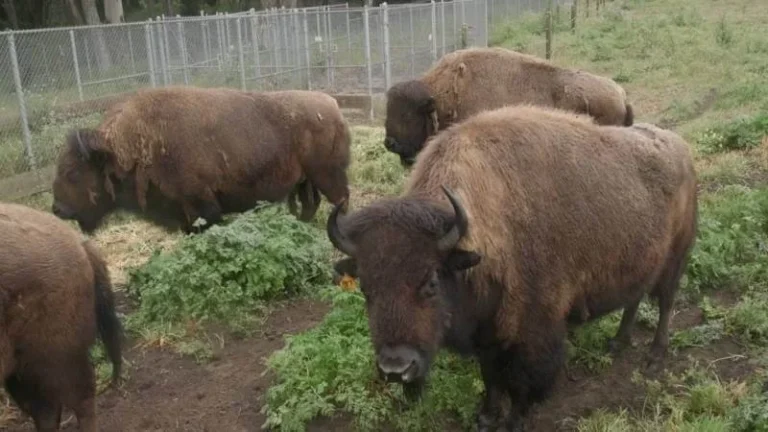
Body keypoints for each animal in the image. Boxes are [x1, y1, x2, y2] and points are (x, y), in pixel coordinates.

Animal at [52, 86, 351, 234]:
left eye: (73, 173)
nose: (57, 209)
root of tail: (333, 106)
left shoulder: (201, 205)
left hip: (328, 175)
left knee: (341, 201)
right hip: (305, 181)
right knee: (311, 204)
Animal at [327, 105, 697, 431]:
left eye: (431, 282)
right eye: (366, 288)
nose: (395, 368)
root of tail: (681, 150)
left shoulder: (532, 332)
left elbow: (522, 382)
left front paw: (514, 421)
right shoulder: (487, 332)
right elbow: (491, 377)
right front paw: (486, 418)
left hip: (675, 260)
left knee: (665, 303)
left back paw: (655, 357)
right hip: (641, 263)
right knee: (634, 300)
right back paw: (618, 343)